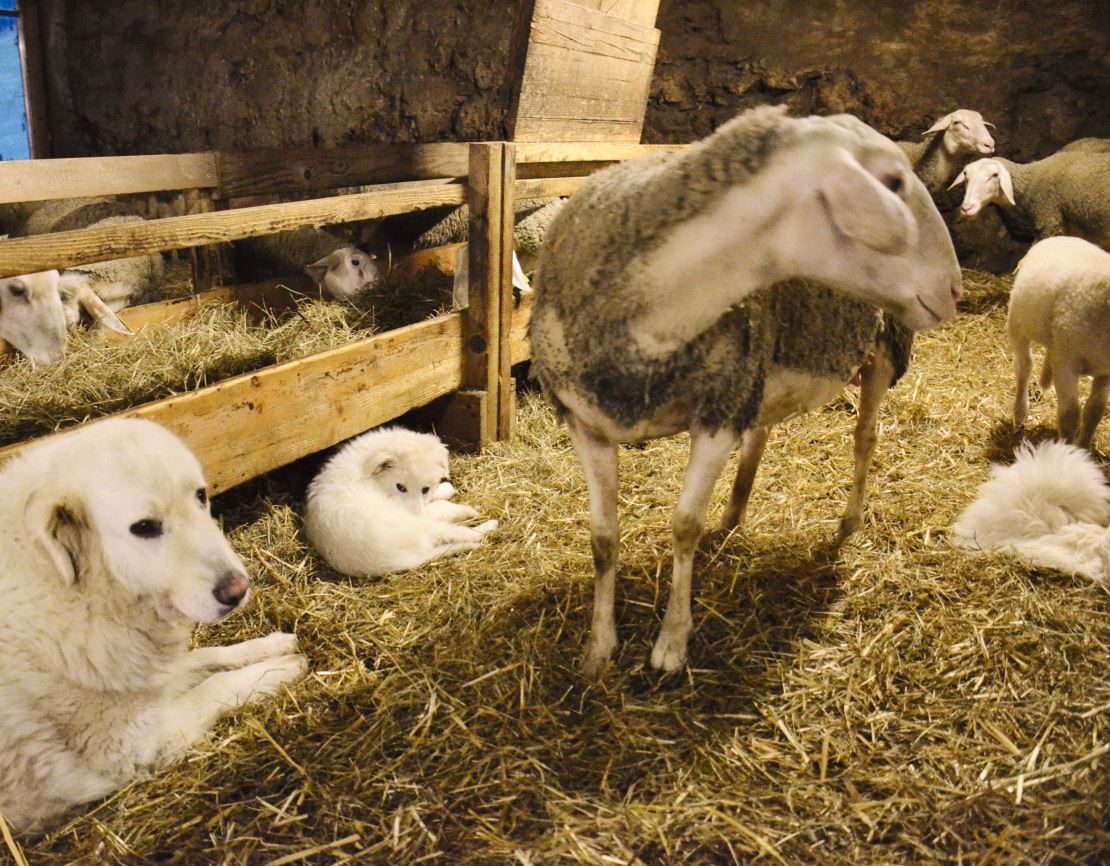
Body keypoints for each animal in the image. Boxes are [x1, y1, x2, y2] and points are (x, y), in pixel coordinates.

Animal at [301, 424, 497, 572]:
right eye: (400, 487)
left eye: (425, 489)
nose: (415, 513)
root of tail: (394, 560)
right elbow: (439, 507)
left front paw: (445, 488)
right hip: (421, 526)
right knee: (465, 534)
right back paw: (486, 522)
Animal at [530, 103, 963, 675]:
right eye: (892, 181)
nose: (955, 289)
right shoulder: (584, 423)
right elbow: (603, 538)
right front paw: (599, 647)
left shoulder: (719, 411)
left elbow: (684, 526)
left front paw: (671, 643)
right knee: (761, 435)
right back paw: (733, 513)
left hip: (882, 351)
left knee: (865, 440)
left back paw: (849, 521)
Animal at [1007, 238, 1110, 452]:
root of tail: (1060, 237)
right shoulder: (1066, 362)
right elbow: (1070, 415)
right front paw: (1066, 453)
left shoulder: (1105, 371)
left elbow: (1094, 412)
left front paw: (1083, 450)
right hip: (1017, 325)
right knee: (1024, 368)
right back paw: (1020, 412)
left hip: (1055, 338)